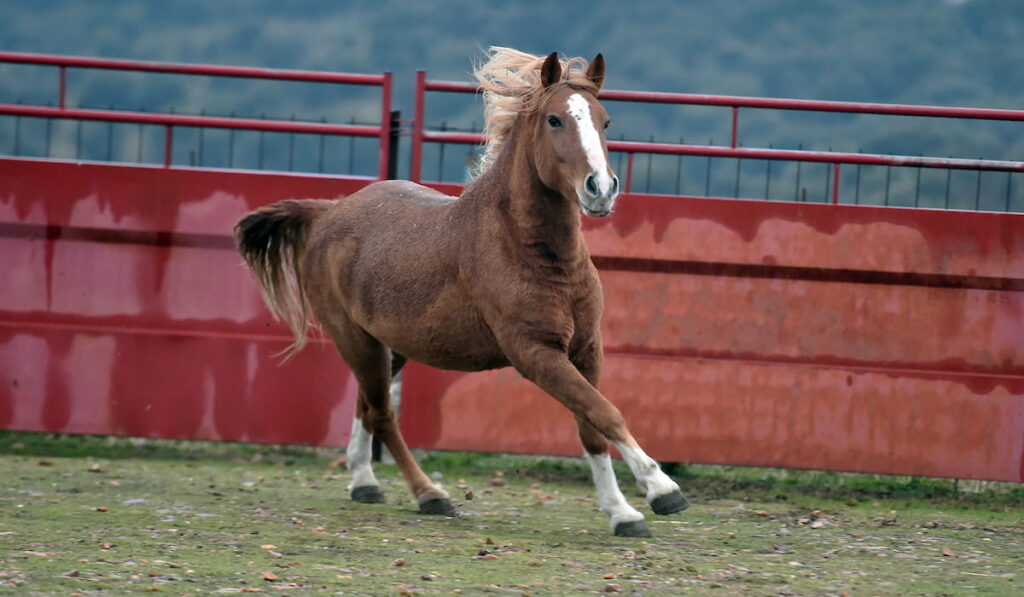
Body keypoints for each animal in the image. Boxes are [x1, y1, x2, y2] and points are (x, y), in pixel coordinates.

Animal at [234, 49, 688, 540]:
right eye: (554, 120)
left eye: (605, 121)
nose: (600, 189)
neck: (533, 252)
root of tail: (328, 213)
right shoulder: (535, 353)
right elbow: (604, 413)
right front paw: (661, 490)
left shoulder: (586, 348)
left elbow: (591, 426)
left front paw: (622, 512)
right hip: (355, 340)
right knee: (382, 413)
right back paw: (429, 494)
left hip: (391, 346)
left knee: (367, 405)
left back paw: (364, 483)